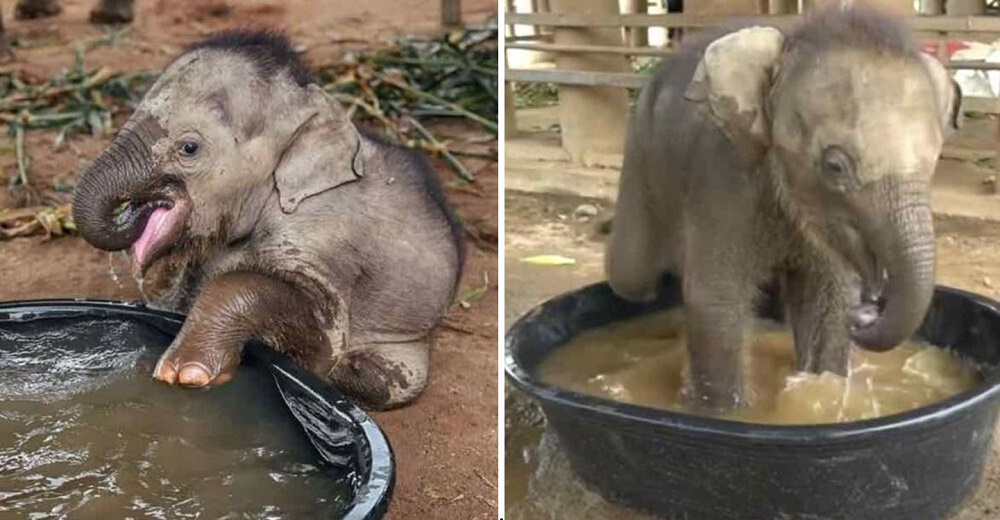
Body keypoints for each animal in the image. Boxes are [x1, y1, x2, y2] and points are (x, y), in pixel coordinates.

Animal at [73, 29, 464, 410]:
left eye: (189, 148)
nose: (137, 209)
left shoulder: (325, 236)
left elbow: (322, 342)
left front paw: (188, 372)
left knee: (379, 380)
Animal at [604, 4, 964, 410]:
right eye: (834, 166)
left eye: (934, 163)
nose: (869, 309)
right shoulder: (723, 172)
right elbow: (716, 301)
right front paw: (727, 412)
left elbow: (828, 296)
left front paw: (820, 384)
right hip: (640, 147)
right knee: (631, 276)